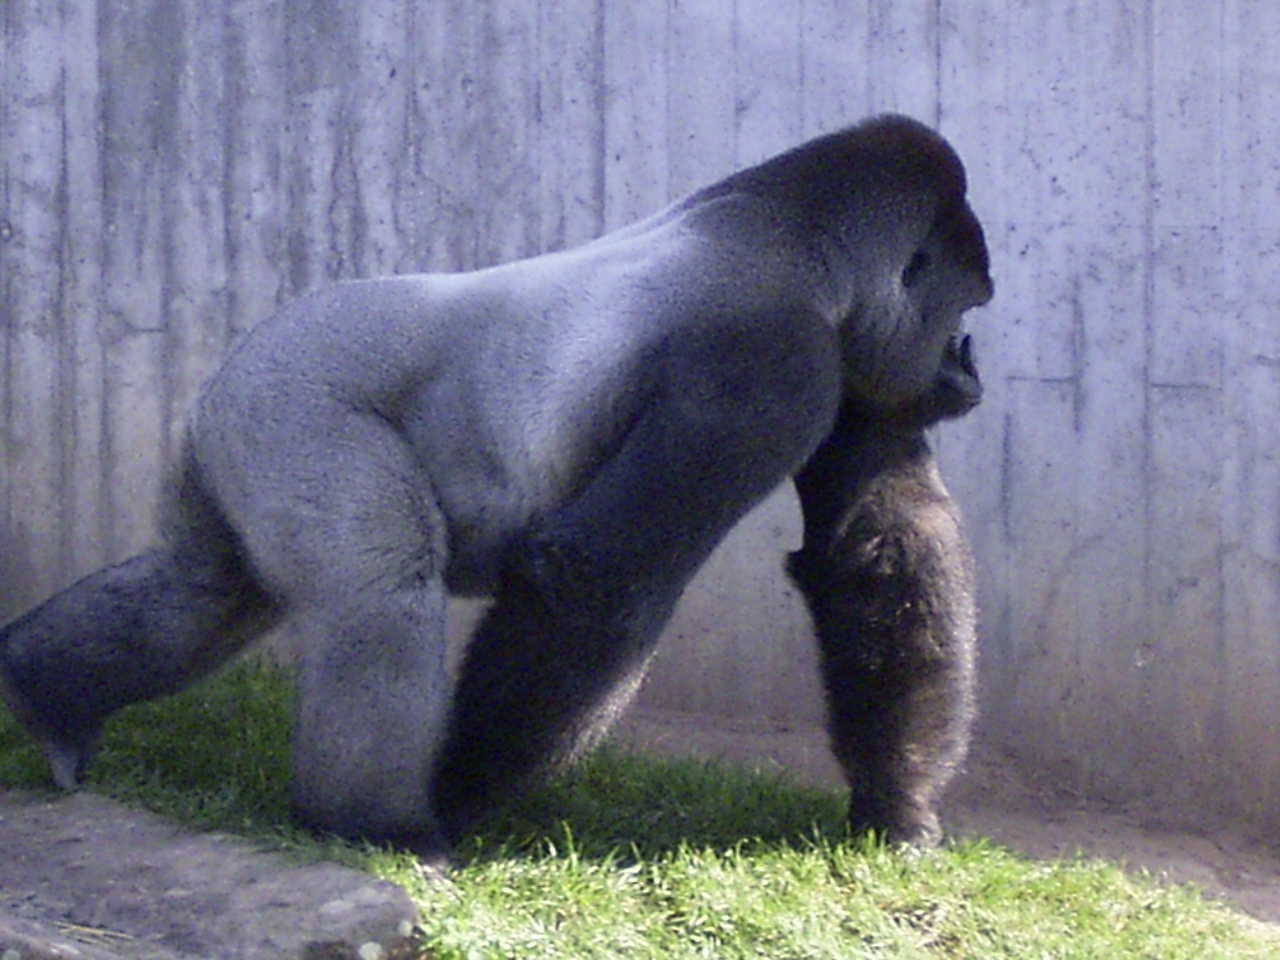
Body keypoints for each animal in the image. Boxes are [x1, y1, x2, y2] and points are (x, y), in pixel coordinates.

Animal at [0, 112, 988, 855]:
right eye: (966, 306)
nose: (969, 365)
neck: (793, 236)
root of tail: (225, 374)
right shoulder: (778, 361)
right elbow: (595, 581)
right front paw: (456, 796)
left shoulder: (853, 373)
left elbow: (880, 548)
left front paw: (896, 805)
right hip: (295, 405)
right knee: (376, 594)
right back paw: (375, 825)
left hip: (240, 435)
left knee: (200, 591)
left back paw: (49, 695)